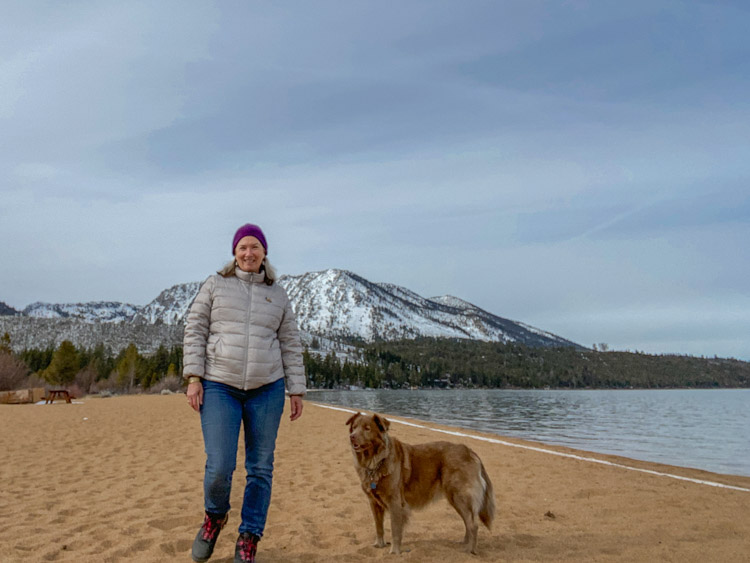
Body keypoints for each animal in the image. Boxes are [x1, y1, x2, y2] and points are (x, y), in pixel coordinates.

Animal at [348, 412, 500, 552]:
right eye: (354, 427)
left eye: (367, 428)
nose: (352, 436)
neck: (375, 462)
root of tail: (470, 451)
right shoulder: (374, 502)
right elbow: (378, 527)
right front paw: (380, 545)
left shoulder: (395, 502)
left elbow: (395, 529)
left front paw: (395, 551)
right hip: (456, 499)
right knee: (468, 522)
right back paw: (464, 543)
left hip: (460, 496)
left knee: (473, 524)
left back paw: (469, 550)